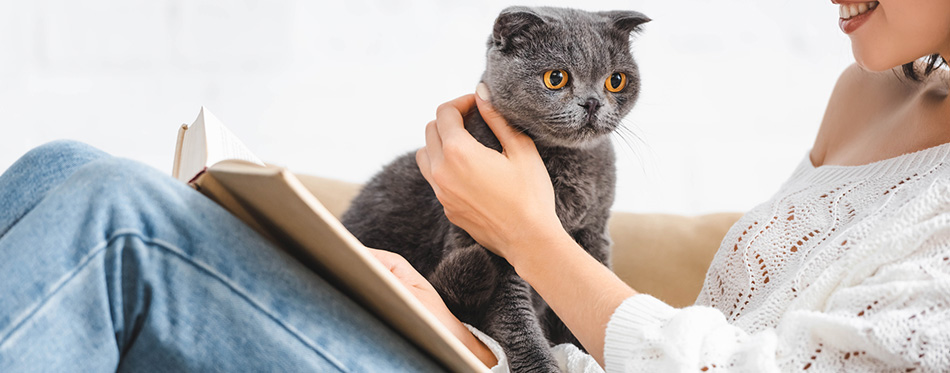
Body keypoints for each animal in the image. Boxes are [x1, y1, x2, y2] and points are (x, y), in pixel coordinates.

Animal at [346, 7, 652, 370]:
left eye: (615, 81)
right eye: (556, 78)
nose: (592, 103)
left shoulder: (593, 234)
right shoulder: (482, 245)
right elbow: (516, 323)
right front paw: (542, 366)